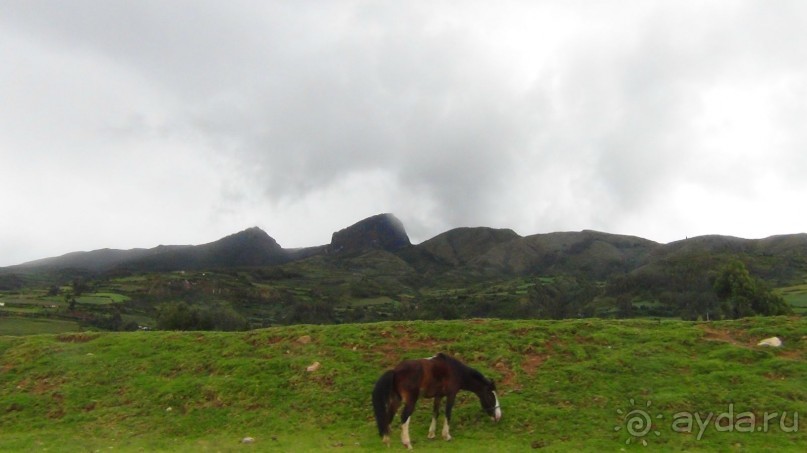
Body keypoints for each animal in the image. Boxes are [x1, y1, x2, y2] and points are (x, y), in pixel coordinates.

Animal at [370, 354, 498, 448]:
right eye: (491, 396)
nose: (498, 416)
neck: (455, 370)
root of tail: (395, 371)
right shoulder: (451, 395)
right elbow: (447, 413)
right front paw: (446, 435)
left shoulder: (438, 396)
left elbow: (435, 413)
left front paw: (431, 434)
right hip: (410, 401)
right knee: (404, 417)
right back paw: (407, 443)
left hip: (396, 400)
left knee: (389, 416)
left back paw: (386, 440)